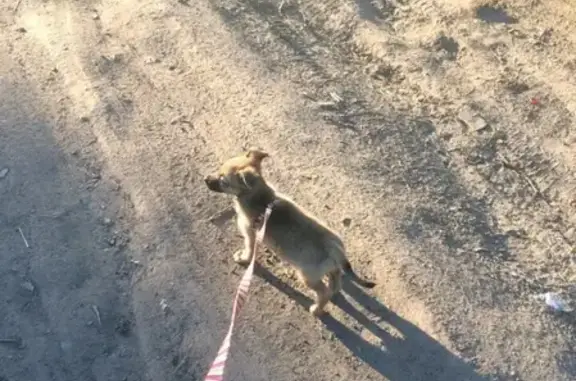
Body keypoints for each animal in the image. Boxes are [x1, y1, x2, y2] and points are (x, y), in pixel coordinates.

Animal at [205, 148, 376, 314]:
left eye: (223, 182)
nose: (206, 179)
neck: (261, 199)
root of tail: (337, 250)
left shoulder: (250, 235)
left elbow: (249, 250)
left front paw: (243, 258)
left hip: (307, 276)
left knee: (323, 293)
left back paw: (317, 309)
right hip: (331, 269)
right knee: (335, 283)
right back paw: (333, 293)